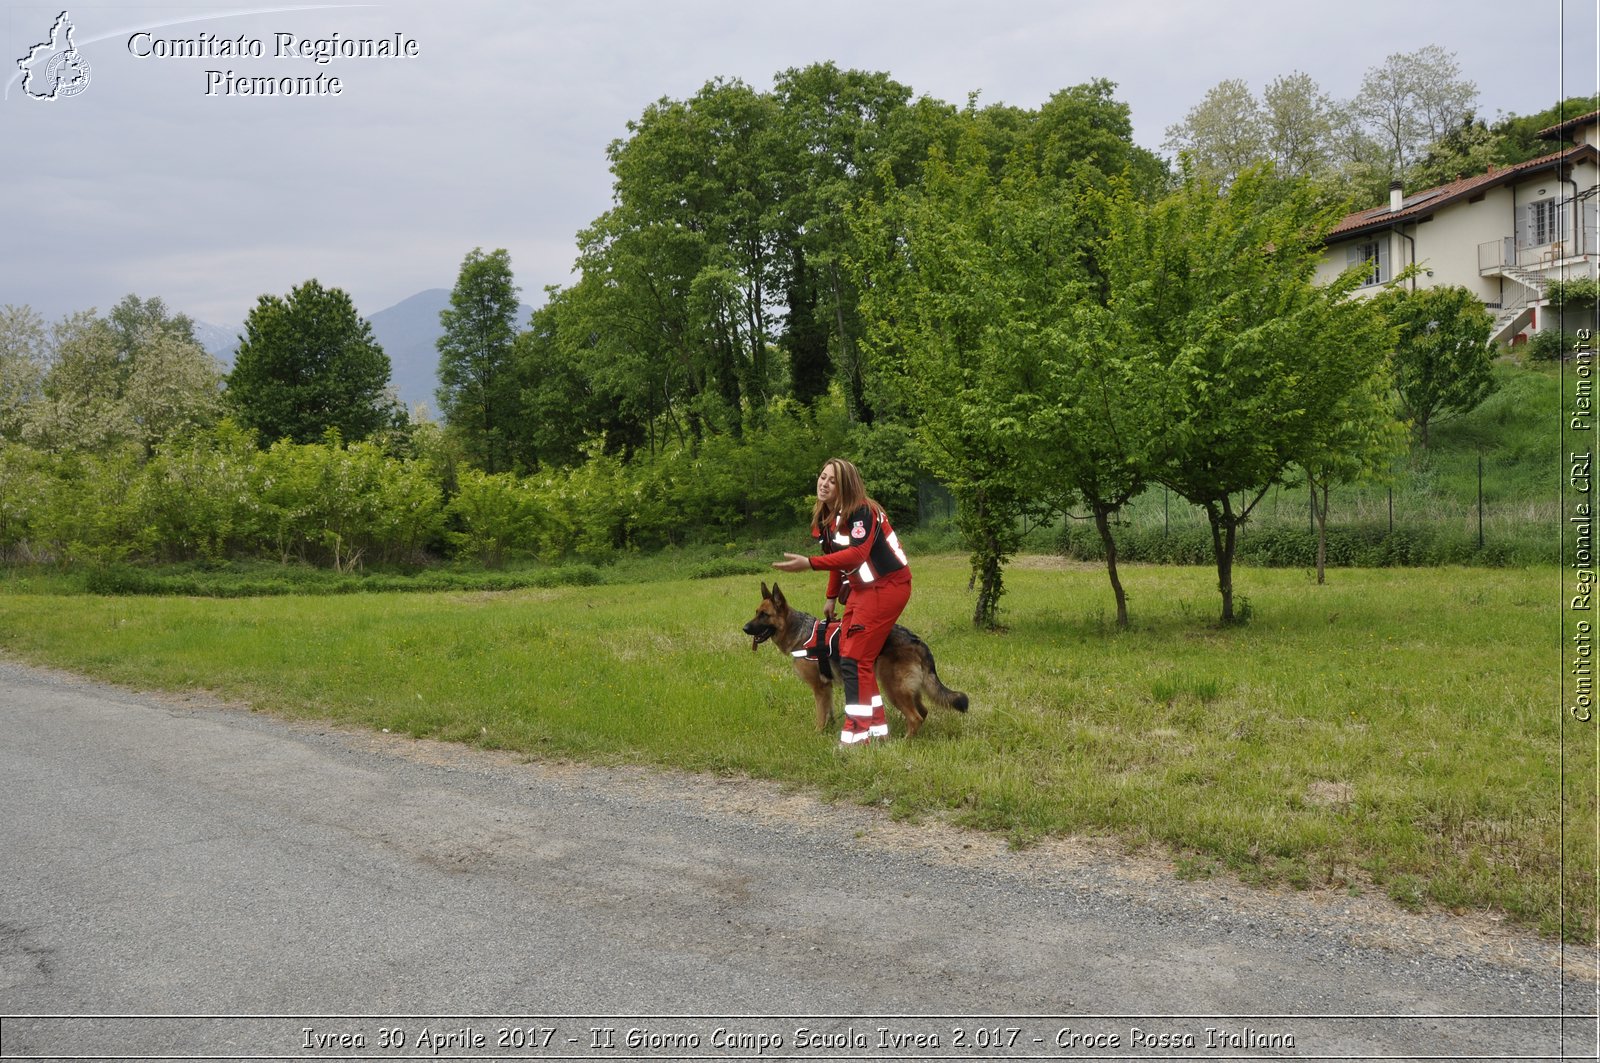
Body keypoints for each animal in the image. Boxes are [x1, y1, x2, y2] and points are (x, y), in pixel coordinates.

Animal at [742, 582, 966, 739]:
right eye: (756, 613)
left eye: (764, 615)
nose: (744, 628)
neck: (798, 632)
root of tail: (915, 639)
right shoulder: (827, 688)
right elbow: (828, 712)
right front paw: (829, 730)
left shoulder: (819, 688)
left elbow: (820, 715)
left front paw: (817, 733)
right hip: (908, 688)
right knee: (923, 711)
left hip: (893, 688)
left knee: (916, 717)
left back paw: (904, 741)